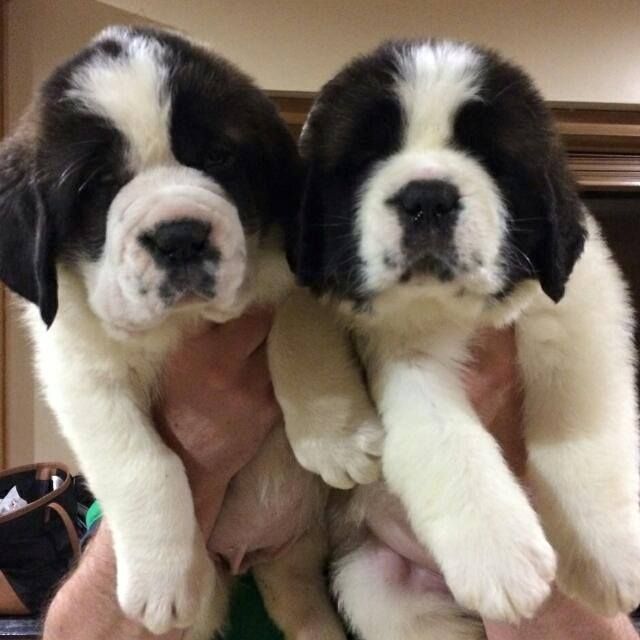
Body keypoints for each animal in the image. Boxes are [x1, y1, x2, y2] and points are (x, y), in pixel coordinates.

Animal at [0, 25, 344, 640]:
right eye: (98, 185)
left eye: (218, 157)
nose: (180, 237)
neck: (184, 323)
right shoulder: (78, 370)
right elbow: (142, 462)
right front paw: (162, 580)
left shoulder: (293, 270)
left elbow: (295, 324)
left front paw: (332, 433)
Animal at [268, 40, 640, 640]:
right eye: (367, 158)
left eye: (491, 158)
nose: (427, 198)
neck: (450, 311)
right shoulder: (402, 354)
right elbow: (446, 442)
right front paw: (500, 556)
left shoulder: (579, 308)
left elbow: (578, 419)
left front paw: (608, 553)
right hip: (376, 589)